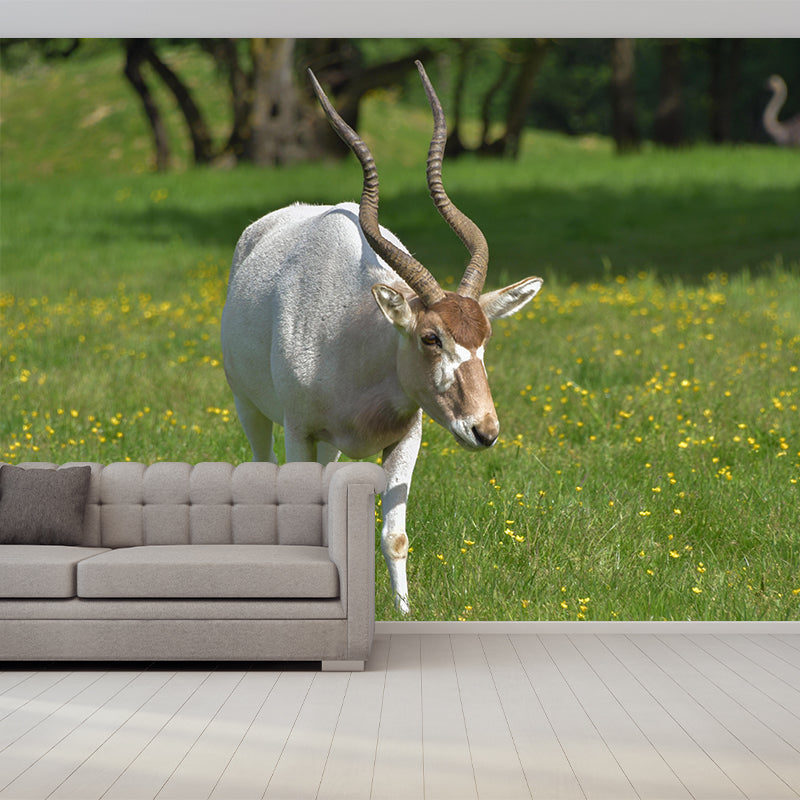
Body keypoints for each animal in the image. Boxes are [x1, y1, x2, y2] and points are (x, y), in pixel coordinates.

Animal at [221, 62, 542, 613]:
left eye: (485, 338)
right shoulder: (298, 431)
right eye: (431, 338)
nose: (485, 430)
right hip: (253, 411)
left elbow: (395, 535)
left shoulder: (405, 437)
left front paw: (404, 610)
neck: (355, 339)